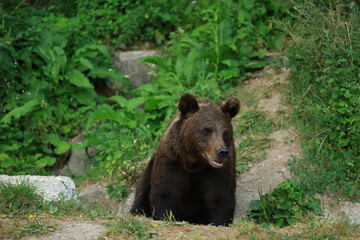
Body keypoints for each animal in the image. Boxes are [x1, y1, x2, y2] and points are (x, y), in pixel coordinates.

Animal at [129, 93, 239, 226]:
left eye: (225, 133)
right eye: (207, 130)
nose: (222, 151)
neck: (194, 162)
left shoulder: (217, 172)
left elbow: (221, 198)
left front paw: (218, 222)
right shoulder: (172, 162)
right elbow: (165, 193)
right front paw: (164, 216)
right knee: (142, 189)